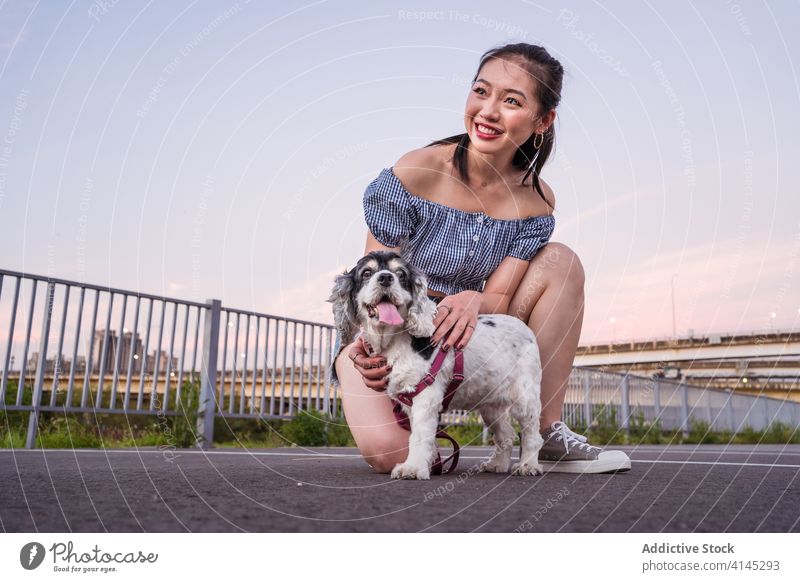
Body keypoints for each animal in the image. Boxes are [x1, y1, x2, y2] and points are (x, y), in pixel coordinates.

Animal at [326, 252, 544, 484]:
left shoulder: (425, 395)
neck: (394, 340)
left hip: (525, 397)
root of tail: (525, 329)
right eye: (367, 273)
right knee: (506, 434)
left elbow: (419, 436)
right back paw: (497, 464)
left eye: (400, 274)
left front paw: (412, 468)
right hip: (490, 405)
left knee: (532, 434)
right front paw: (428, 462)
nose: (385, 278)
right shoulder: (409, 400)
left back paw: (528, 465)